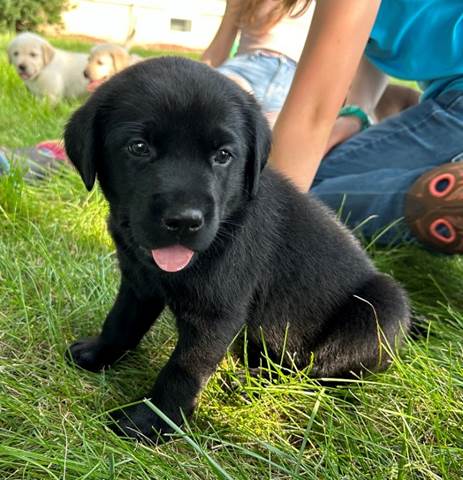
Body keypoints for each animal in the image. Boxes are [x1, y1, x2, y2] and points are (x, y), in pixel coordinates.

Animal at [63, 56, 412, 442]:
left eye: (223, 156)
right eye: (138, 147)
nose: (185, 220)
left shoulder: (217, 314)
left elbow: (182, 371)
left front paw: (152, 422)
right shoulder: (139, 284)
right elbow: (121, 322)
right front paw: (99, 353)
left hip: (382, 310)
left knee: (316, 371)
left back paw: (257, 380)